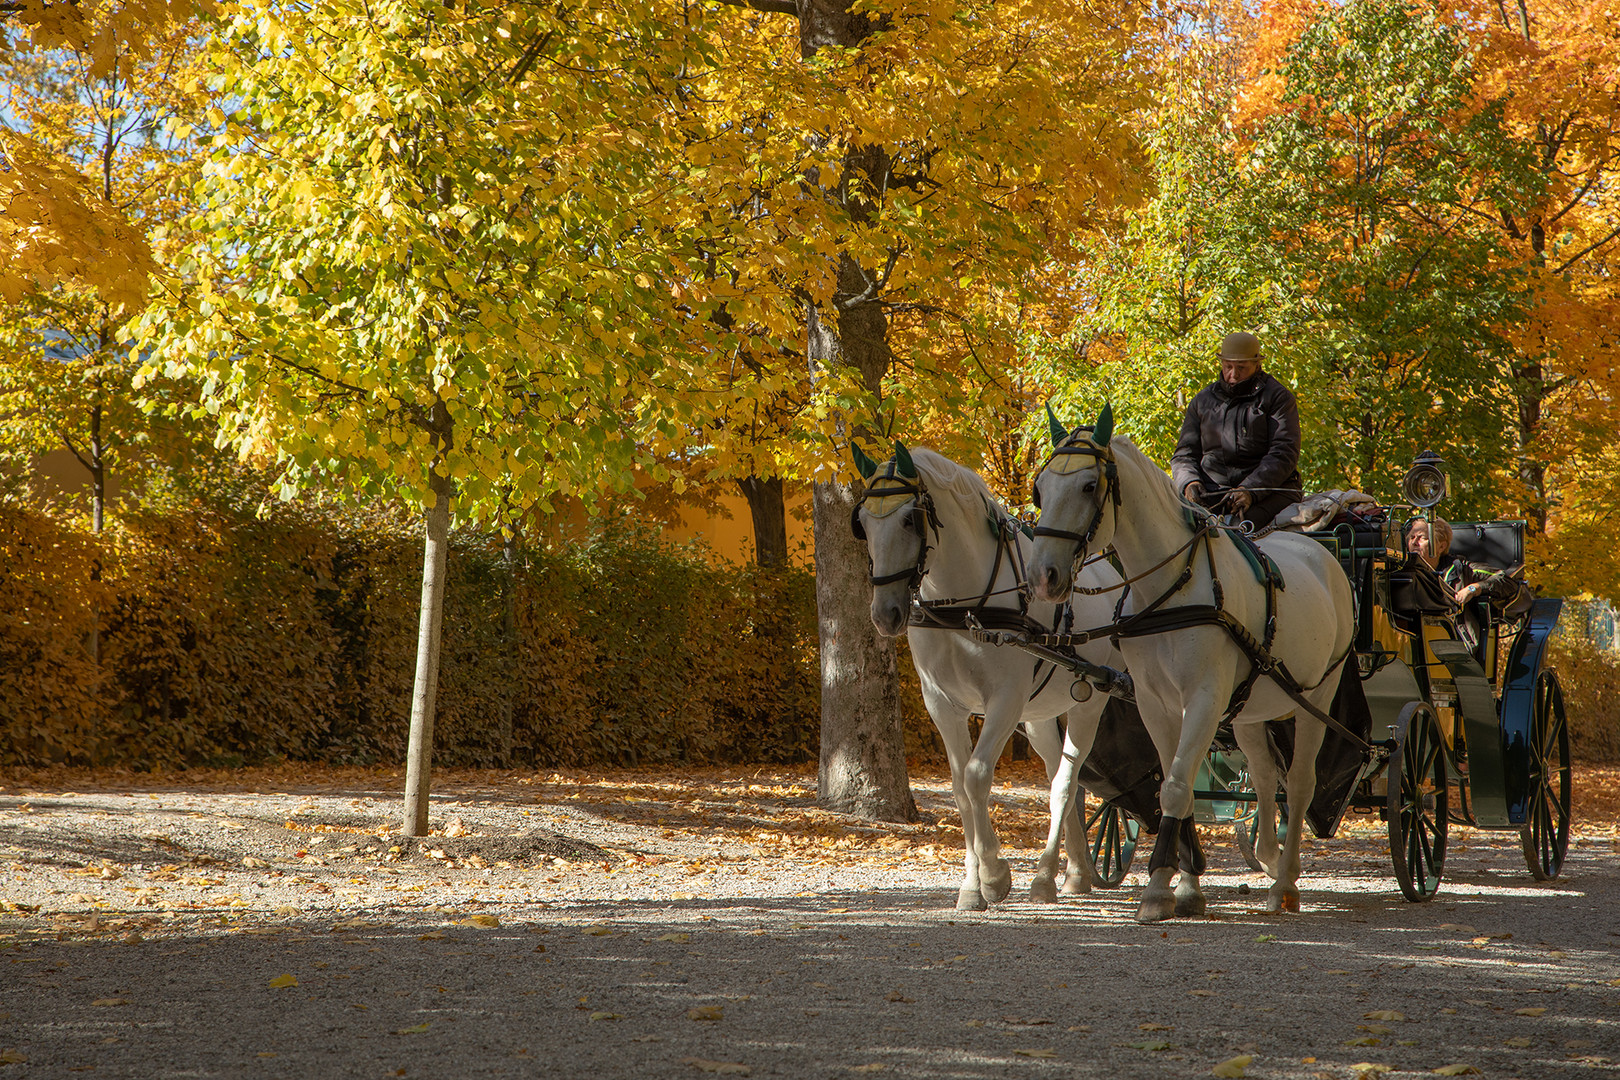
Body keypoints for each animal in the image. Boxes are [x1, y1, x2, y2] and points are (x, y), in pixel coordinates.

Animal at [855, 443, 1134, 906]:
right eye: (862, 522)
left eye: (910, 519)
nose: (885, 614)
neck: (963, 609)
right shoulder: (942, 705)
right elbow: (959, 789)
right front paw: (973, 885)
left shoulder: (1004, 700)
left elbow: (976, 776)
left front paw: (994, 875)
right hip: (1039, 714)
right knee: (1062, 778)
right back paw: (1072, 871)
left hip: (1089, 703)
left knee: (1064, 784)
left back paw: (1046, 875)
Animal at [1023, 409, 1354, 926]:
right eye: (1040, 489)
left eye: (1089, 485)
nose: (1043, 576)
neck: (1171, 589)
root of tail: (1322, 554)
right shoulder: (1157, 704)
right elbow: (1174, 786)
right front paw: (1185, 883)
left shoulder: (1203, 699)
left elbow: (1177, 787)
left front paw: (1160, 889)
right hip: (1252, 710)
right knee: (1264, 778)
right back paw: (1267, 854)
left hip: (1316, 697)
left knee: (1299, 785)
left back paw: (1284, 882)